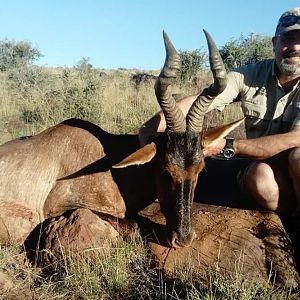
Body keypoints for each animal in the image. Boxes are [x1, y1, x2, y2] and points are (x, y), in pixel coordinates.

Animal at [0, 30, 243, 248]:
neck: (110, 161)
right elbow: (133, 226)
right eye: (165, 168)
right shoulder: (57, 206)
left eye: (200, 168)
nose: (183, 239)